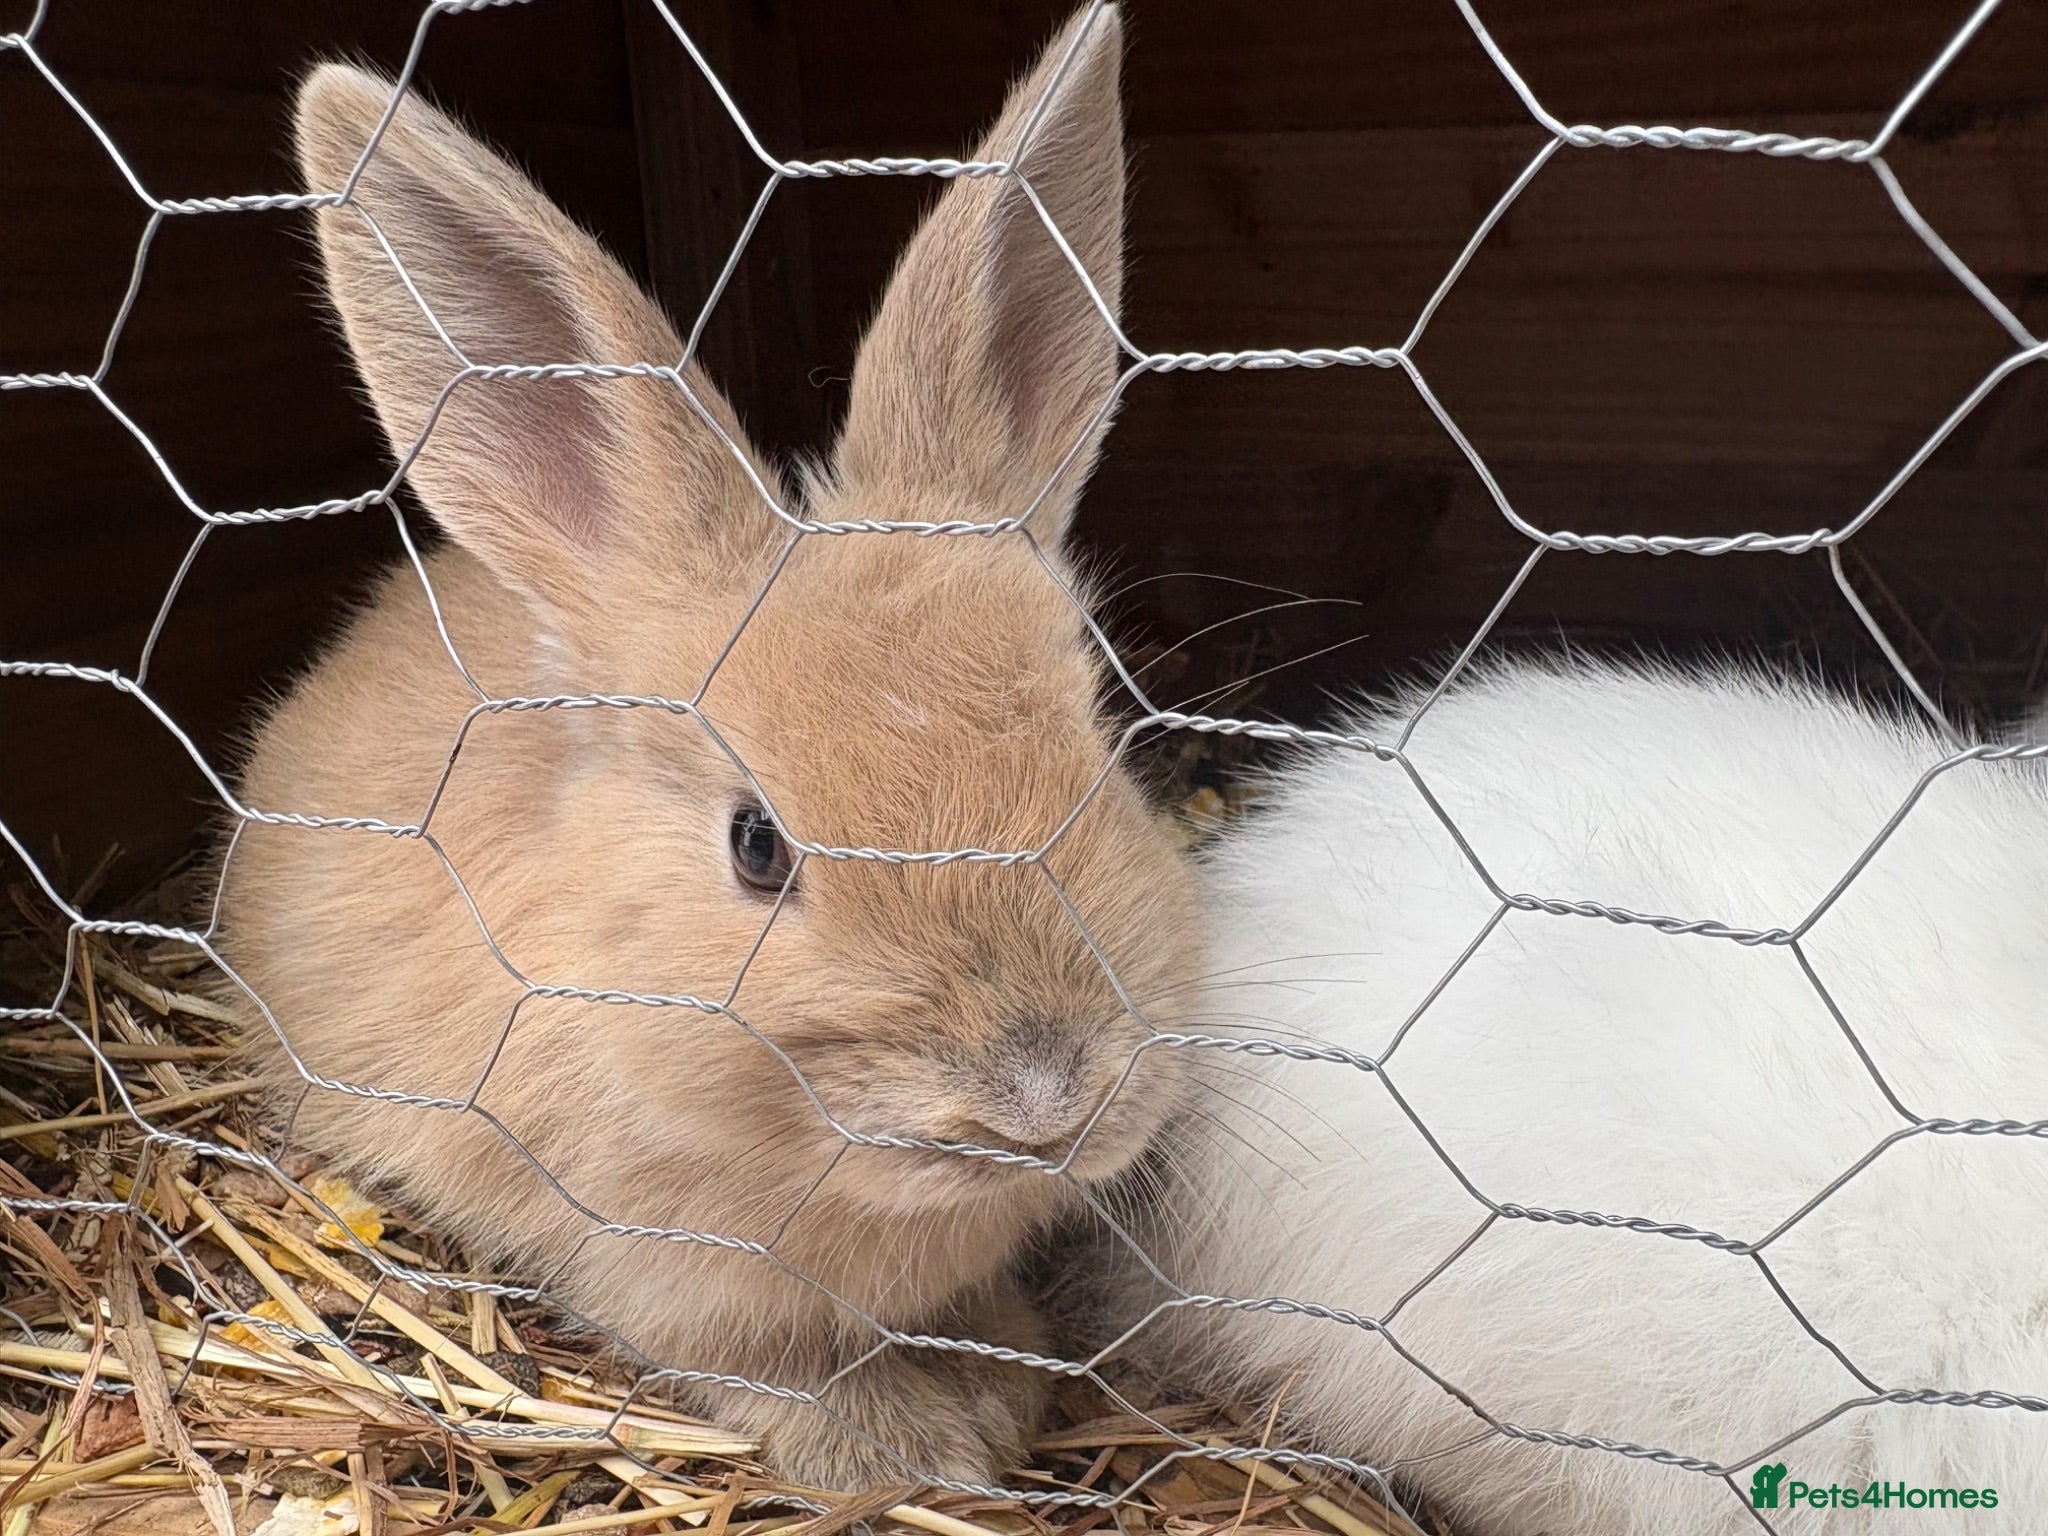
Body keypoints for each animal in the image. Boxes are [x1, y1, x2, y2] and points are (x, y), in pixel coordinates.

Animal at [217, 5, 1203, 1490]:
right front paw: (907, 1448)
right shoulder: (657, 1268)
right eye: (755, 847)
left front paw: (995, 1378)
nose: (1043, 1090)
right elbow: (764, 1369)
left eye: (1103, 743)